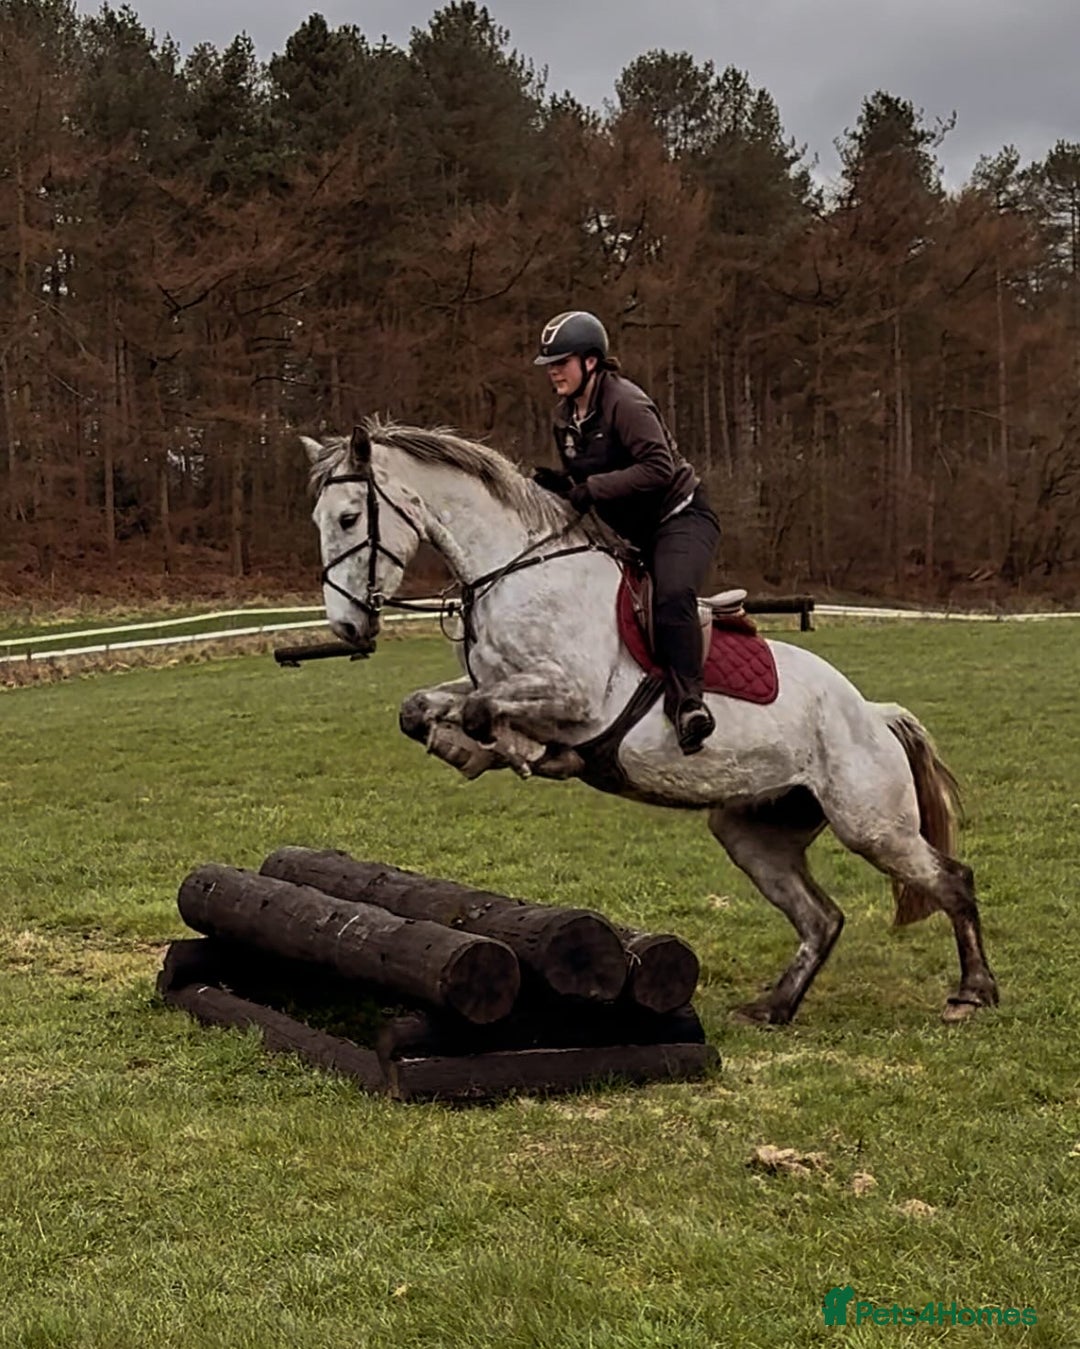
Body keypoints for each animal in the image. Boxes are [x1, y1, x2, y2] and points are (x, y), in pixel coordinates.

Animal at [300, 418, 998, 1027]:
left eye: (349, 518)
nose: (348, 628)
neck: (518, 572)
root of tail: (874, 714)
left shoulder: (573, 695)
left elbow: (483, 712)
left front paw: (527, 752)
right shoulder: (494, 682)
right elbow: (422, 707)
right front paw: (467, 748)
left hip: (871, 823)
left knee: (951, 881)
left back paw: (972, 994)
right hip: (756, 832)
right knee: (821, 918)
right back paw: (772, 1008)